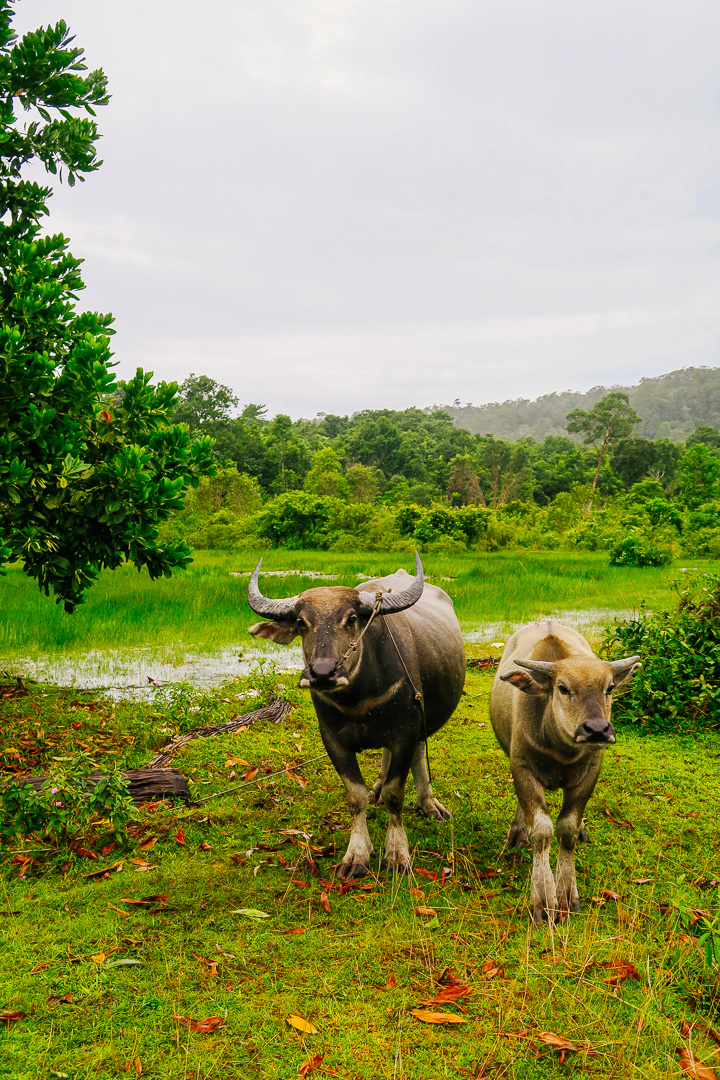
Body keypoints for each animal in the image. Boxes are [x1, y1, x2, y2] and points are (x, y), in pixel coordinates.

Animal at [245, 557, 464, 876]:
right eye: (301, 622)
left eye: (351, 619)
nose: (323, 673)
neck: (359, 699)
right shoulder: (333, 741)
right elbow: (355, 796)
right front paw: (357, 854)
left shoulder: (404, 732)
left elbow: (395, 794)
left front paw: (397, 854)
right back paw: (379, 786)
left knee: (419, 751)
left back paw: (429, 803)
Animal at [490, 622, 643, 924]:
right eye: (562, 688)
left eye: (609, 688)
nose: (597, 729)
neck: (559, 749)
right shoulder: (522, 768)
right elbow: (542, 831)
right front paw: (543, 898)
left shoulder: (589, 774)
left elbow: (567, 829)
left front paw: (566, 891)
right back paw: (518, 830)